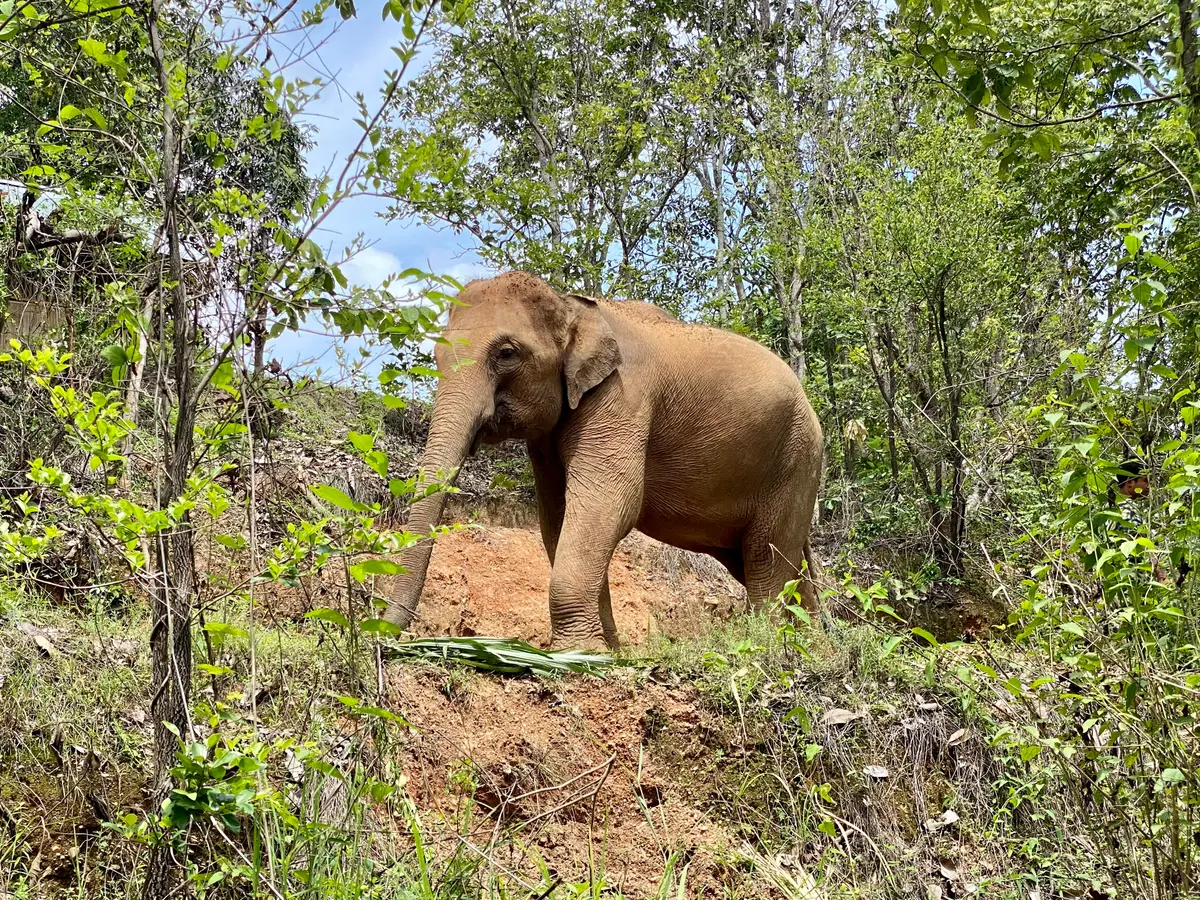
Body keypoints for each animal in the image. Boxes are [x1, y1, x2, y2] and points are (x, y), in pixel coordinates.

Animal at [382, 272, 823, 648]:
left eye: (506, 353)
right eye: (436, 355)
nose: (388, 636)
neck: (571, 305)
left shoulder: (622, 398)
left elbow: (607, 504)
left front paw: (577, 653)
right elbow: (557, 518)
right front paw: (607, 649)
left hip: (797, 462)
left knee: (765, 556)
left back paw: (769, 644)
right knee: (773, 564)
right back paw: (812, 644)